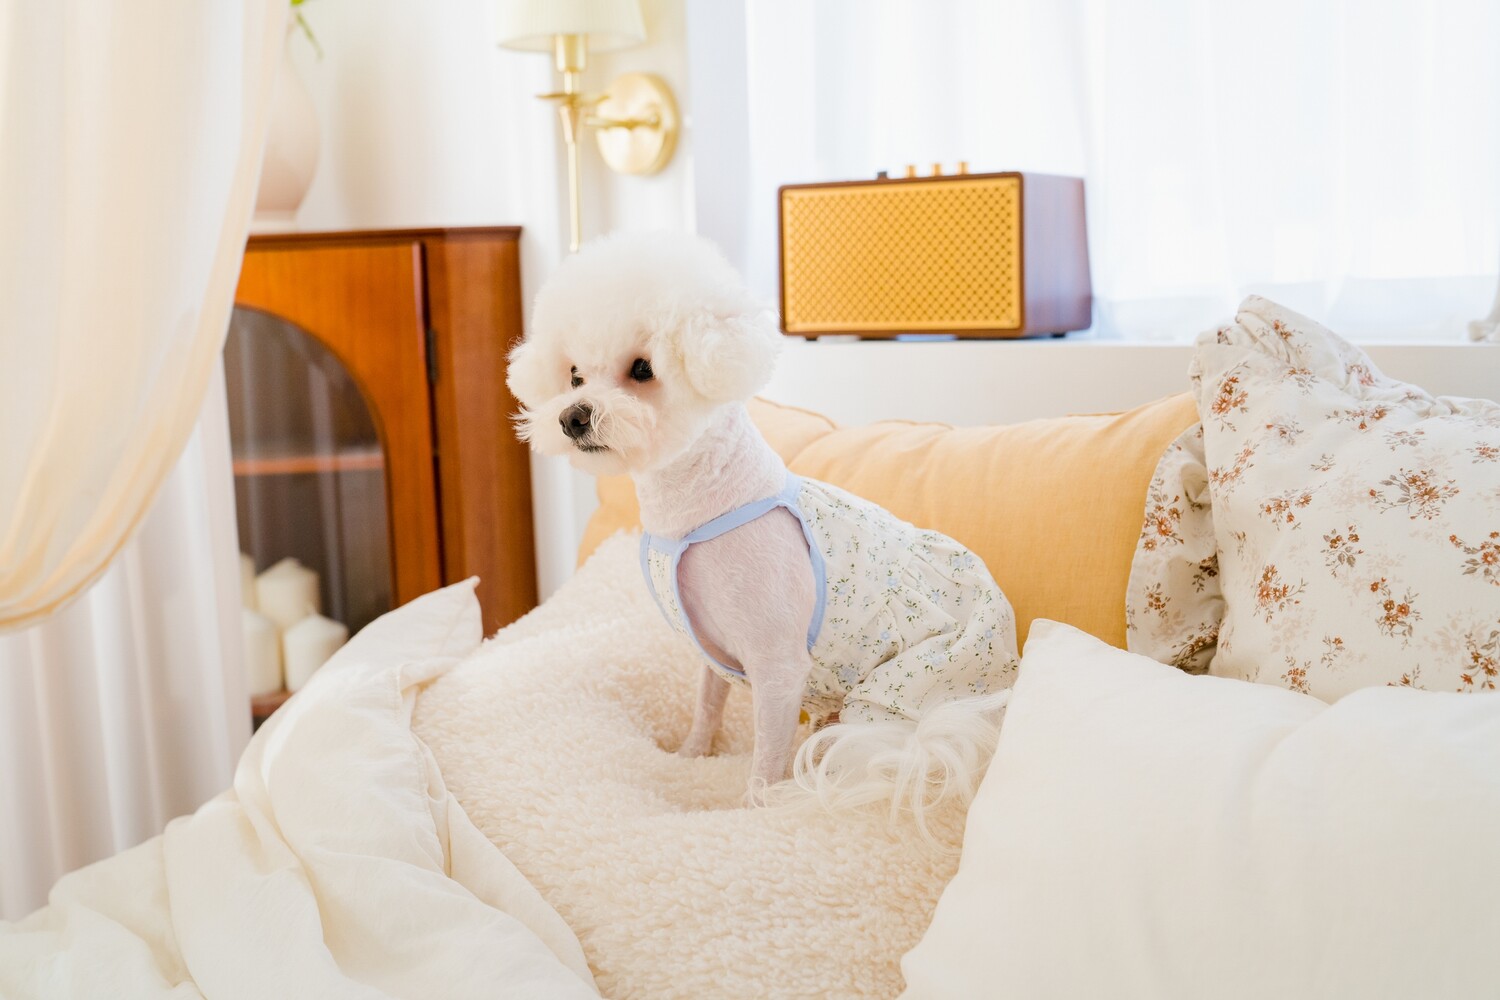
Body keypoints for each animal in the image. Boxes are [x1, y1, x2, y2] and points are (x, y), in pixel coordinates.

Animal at [507, 233, 1019, 824]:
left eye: (642, 369)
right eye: (573, 376)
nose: (573, 416)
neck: (697, 509)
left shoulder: (778, 668)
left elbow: (766, 756)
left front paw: (754, 810)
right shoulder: (711, 650)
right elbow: (707, 705)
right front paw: (691, 754)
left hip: (893, 700)